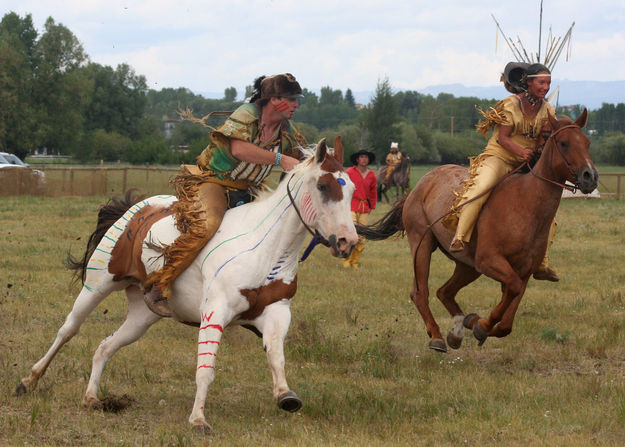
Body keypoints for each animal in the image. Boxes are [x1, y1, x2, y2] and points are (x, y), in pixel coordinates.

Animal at [15, 139, 356, 434]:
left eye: (351, 188)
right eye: (323, 186)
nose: (347, 241)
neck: (266, 246)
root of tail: (134, 209)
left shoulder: (276, 312)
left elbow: (276, 355)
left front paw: (286, 396)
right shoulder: (215, 312)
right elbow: (206, 368)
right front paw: (198, 420)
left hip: (143, 314)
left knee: (105, 346)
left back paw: (91, 397)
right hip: (97, 285)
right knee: (68, 330)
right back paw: (28, 381)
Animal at [358, 111, 596, 354]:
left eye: (587, 143)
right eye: (564, 143)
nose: (590, 176)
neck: (524, 203)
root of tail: (420, 185)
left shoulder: (523, 272)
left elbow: (507, 320)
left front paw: (478, 325)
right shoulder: (489, 261)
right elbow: (510, 291)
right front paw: (482, 326)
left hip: (467, 266)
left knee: (444, 292)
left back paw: (459, 329)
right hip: (422, 246)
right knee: (420, 293)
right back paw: (437, 336)